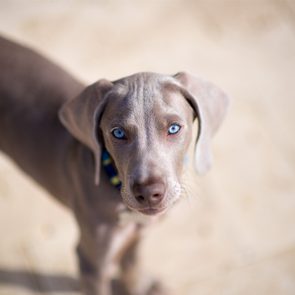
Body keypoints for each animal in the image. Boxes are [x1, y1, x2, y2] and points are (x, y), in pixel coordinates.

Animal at [0, 37, 229, 295]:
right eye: (118, 133)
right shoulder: (91, 263)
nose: (148, 193)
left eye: (173, 128)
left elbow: (132, 270)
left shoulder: (138, 236)